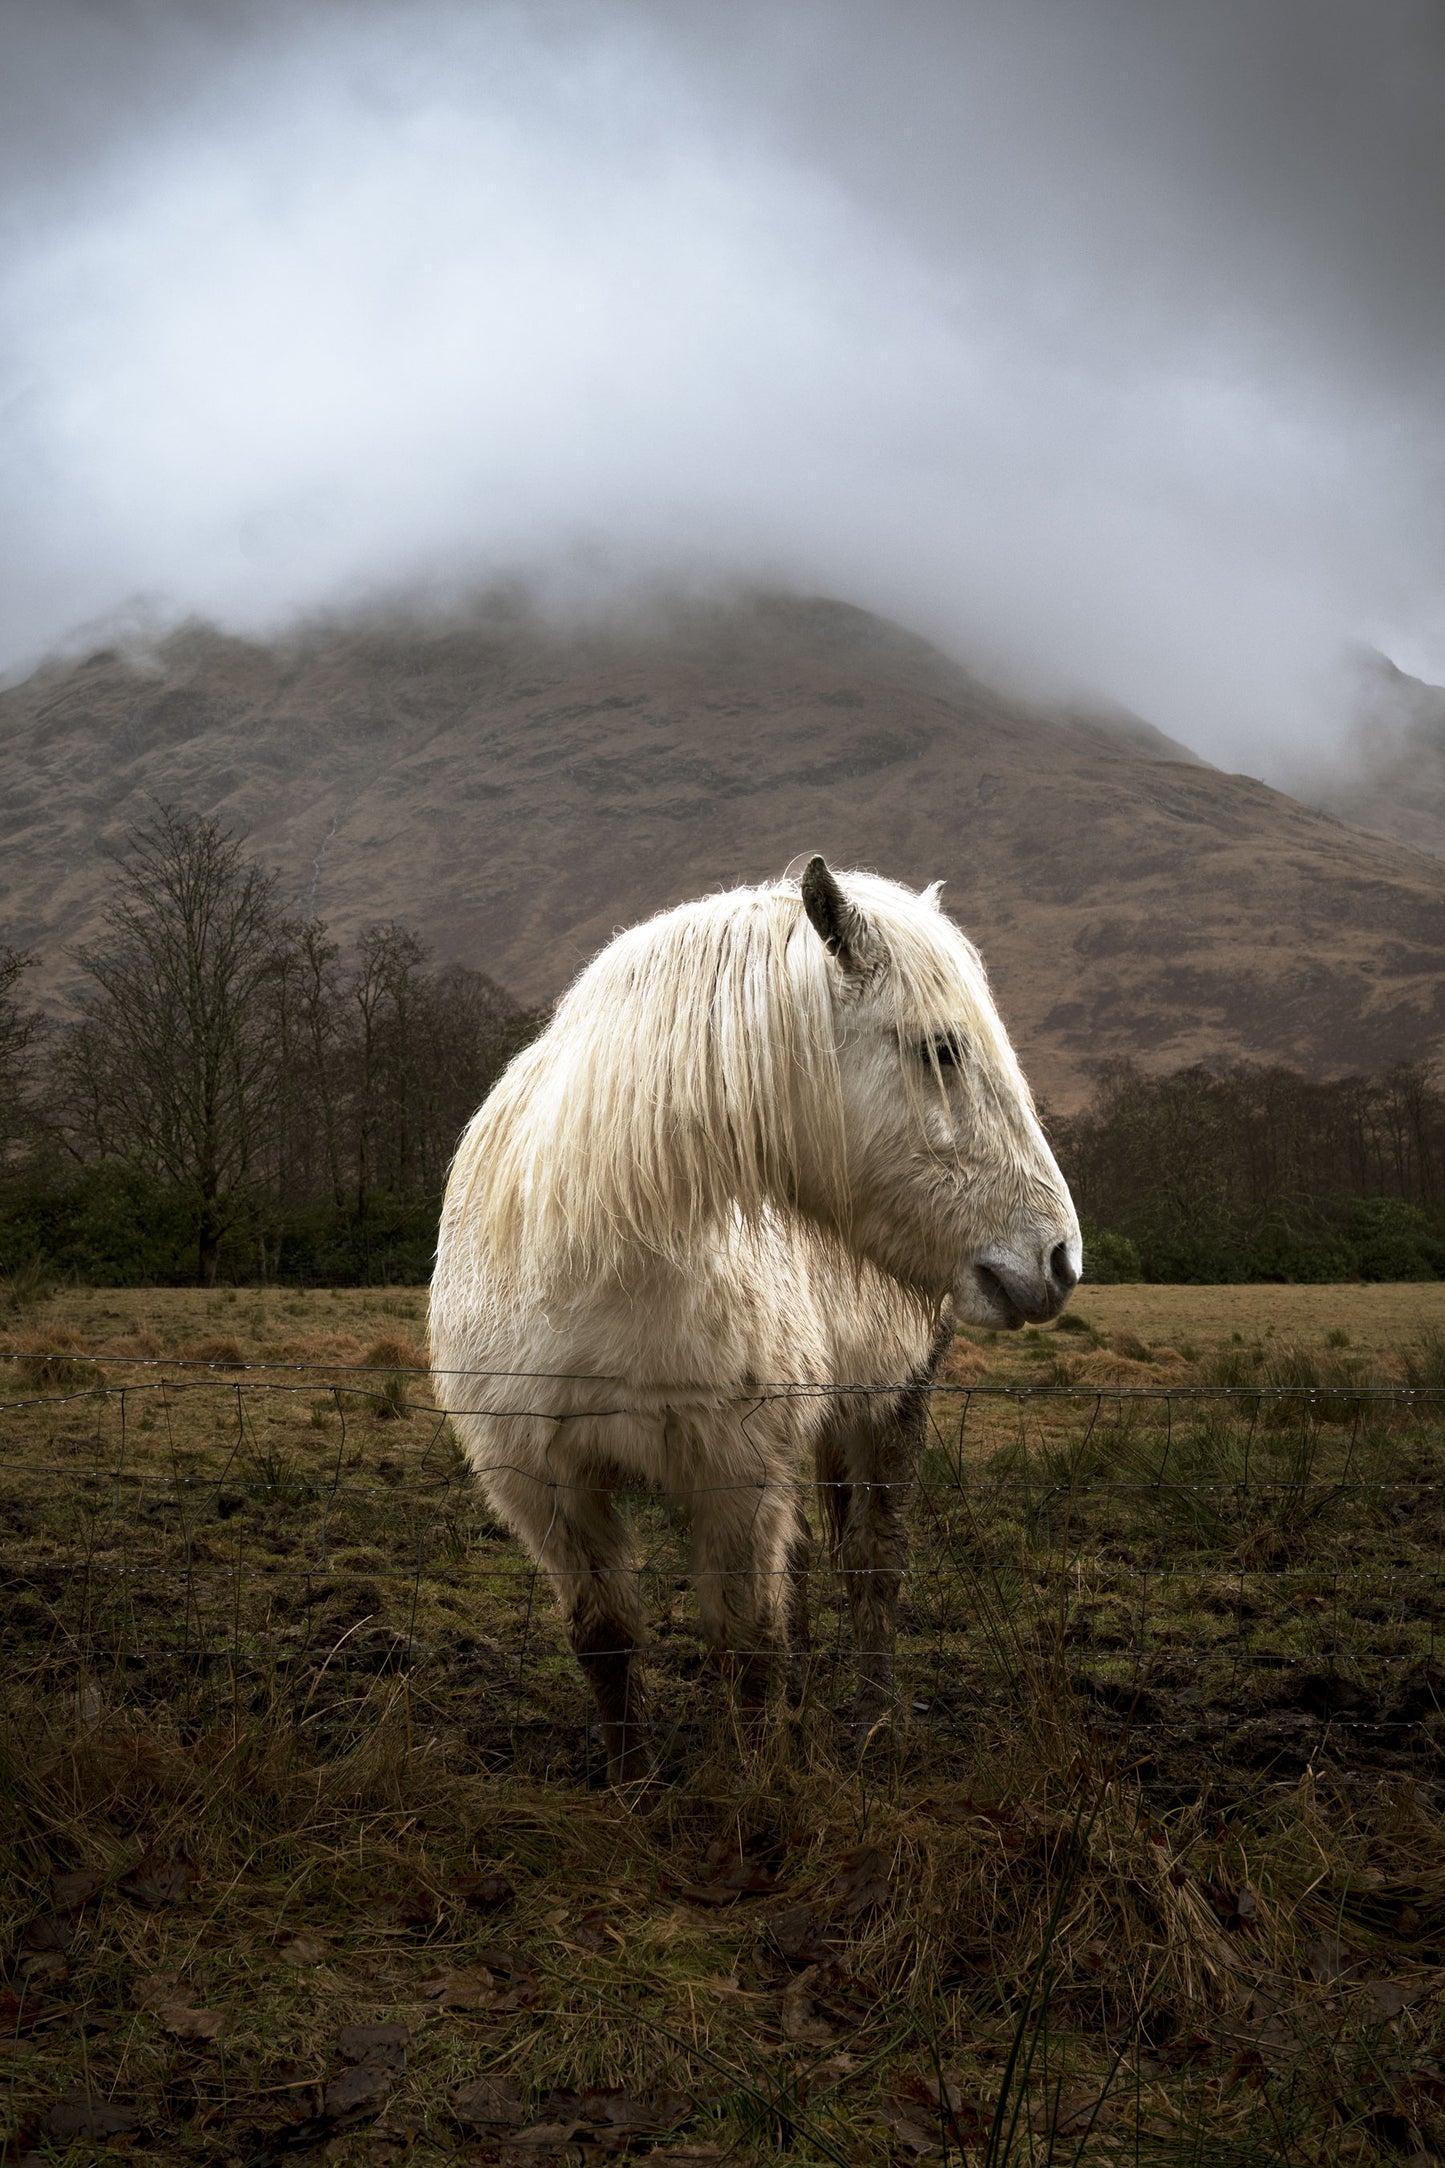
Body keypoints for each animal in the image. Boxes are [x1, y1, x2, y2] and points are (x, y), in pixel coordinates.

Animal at [430, 857, 1080, 1781]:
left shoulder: (735, 1475)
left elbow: (748, 1650)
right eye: (942, 1049)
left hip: (889, 1408)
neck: (593, 1256)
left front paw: (756, 1790)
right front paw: (634, 1790)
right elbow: (607, 1640)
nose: (1058, 1257)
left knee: (870, 1568)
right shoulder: (542, 1486)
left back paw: (873, 1726)